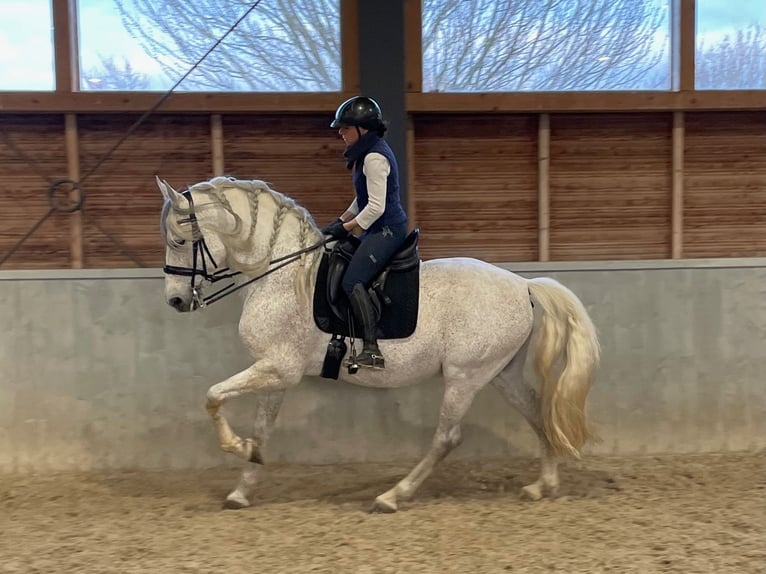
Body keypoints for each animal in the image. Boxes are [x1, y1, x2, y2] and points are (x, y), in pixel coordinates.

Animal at [158, 176, 600, 512]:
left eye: (178, 241)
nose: (176, 301)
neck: (281, 274)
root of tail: (523, 284)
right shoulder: (274, 374)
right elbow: (261, 429)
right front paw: (244, 481)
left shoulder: (278, 368)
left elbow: (212, 395)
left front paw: (236, 447)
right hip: (499, 372)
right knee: (536, 413)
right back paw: (542, 486)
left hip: (465, 376)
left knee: (447, 437)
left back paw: (392, 496)